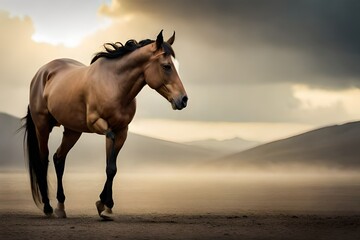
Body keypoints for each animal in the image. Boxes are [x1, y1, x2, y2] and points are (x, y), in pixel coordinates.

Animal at [21, 31, 188, 220]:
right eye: (166, 66)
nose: (183, 99)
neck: (115, 84)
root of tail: (41, 73)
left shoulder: (121, 131)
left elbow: (111, 168)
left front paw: (104, 205)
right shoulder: (100, 125)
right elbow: (111, 163)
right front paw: (107, 206)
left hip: (72, 131)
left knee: (58, 158)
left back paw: (61, 206)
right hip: (42, 127)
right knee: (44, 160)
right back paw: (48, 207)